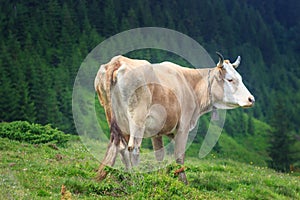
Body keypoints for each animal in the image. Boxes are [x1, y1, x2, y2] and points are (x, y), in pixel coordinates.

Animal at [95, 52, 254, 184]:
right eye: (230, 79)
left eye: (240, 78)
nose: (251, 99)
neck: (191, 84)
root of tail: (118, 61)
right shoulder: (183, 126)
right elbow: (179, 155)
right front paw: (183, 182)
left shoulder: (157, 131)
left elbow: (159, 155)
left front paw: (159, 177)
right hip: (137, 118)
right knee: (133, 148)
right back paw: (135, 179)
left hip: (116, 119)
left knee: (120, 147)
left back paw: (128, 177)